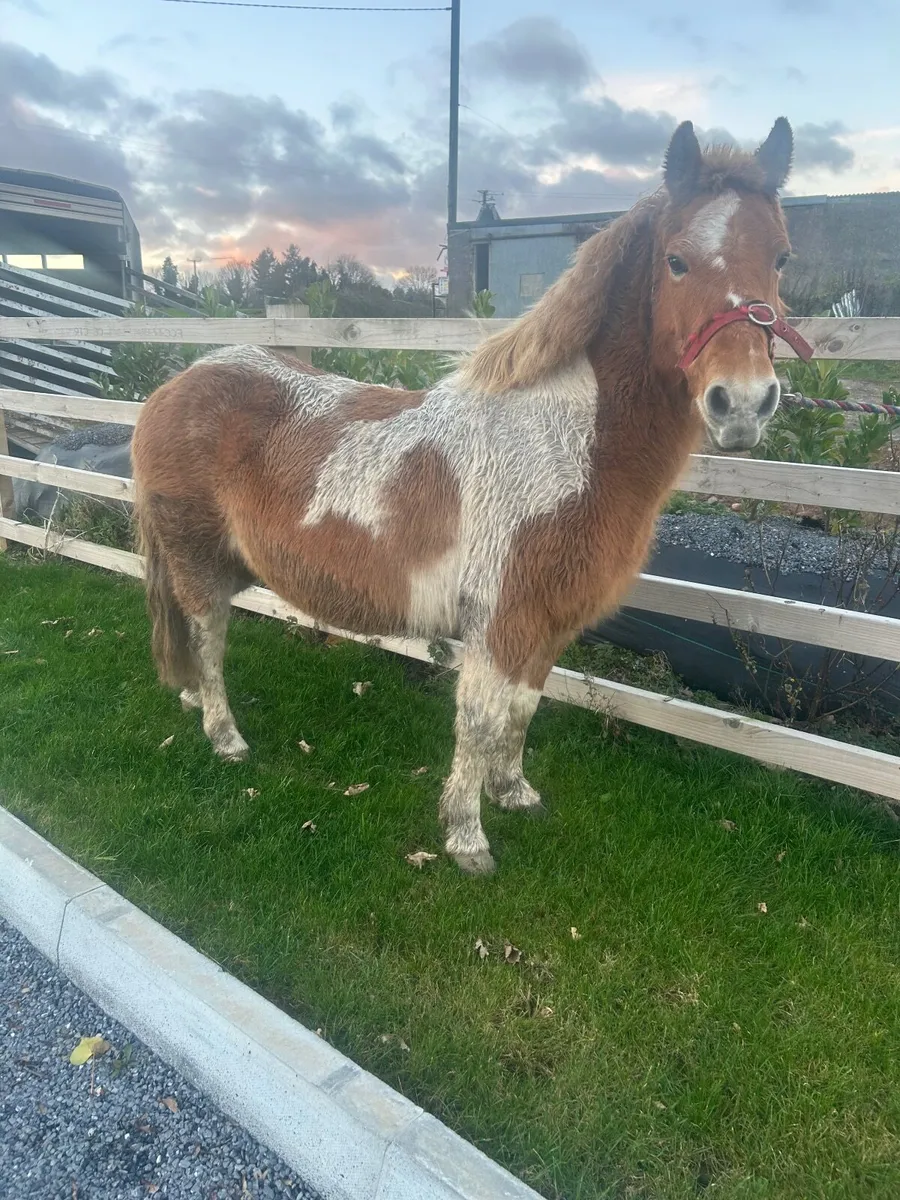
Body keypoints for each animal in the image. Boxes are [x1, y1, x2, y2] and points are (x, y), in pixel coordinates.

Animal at [132, 118, 812, 875]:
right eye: (676, 261)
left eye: (781, 257)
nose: (743, 403)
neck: (563, 443)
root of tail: (178, 384)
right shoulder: (500, 620)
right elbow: (481, 720)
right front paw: (466, 837)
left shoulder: (546, 623)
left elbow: (521, 710)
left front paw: (514, 792)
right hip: (196, 561)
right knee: (207, 637)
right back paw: (224, 735)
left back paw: (193, 705)